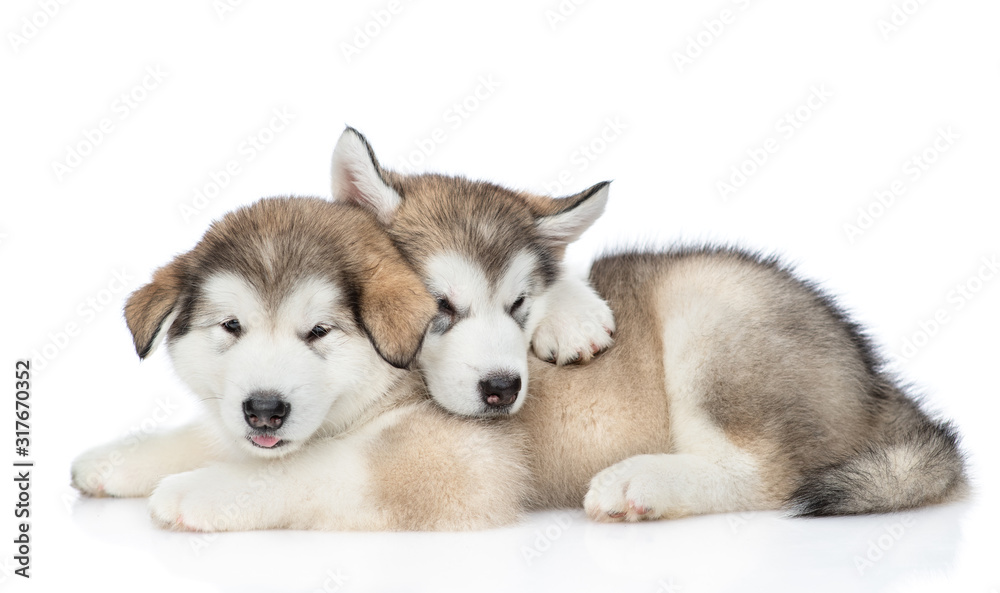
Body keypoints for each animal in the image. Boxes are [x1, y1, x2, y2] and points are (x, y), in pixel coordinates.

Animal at [330, 128, 968, 520]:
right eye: (439, 306)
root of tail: (874, 376)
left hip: (709, 313)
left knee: (763, 476)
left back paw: (640, 482)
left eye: (519, 305)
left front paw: (571, 311)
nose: (503, 389)